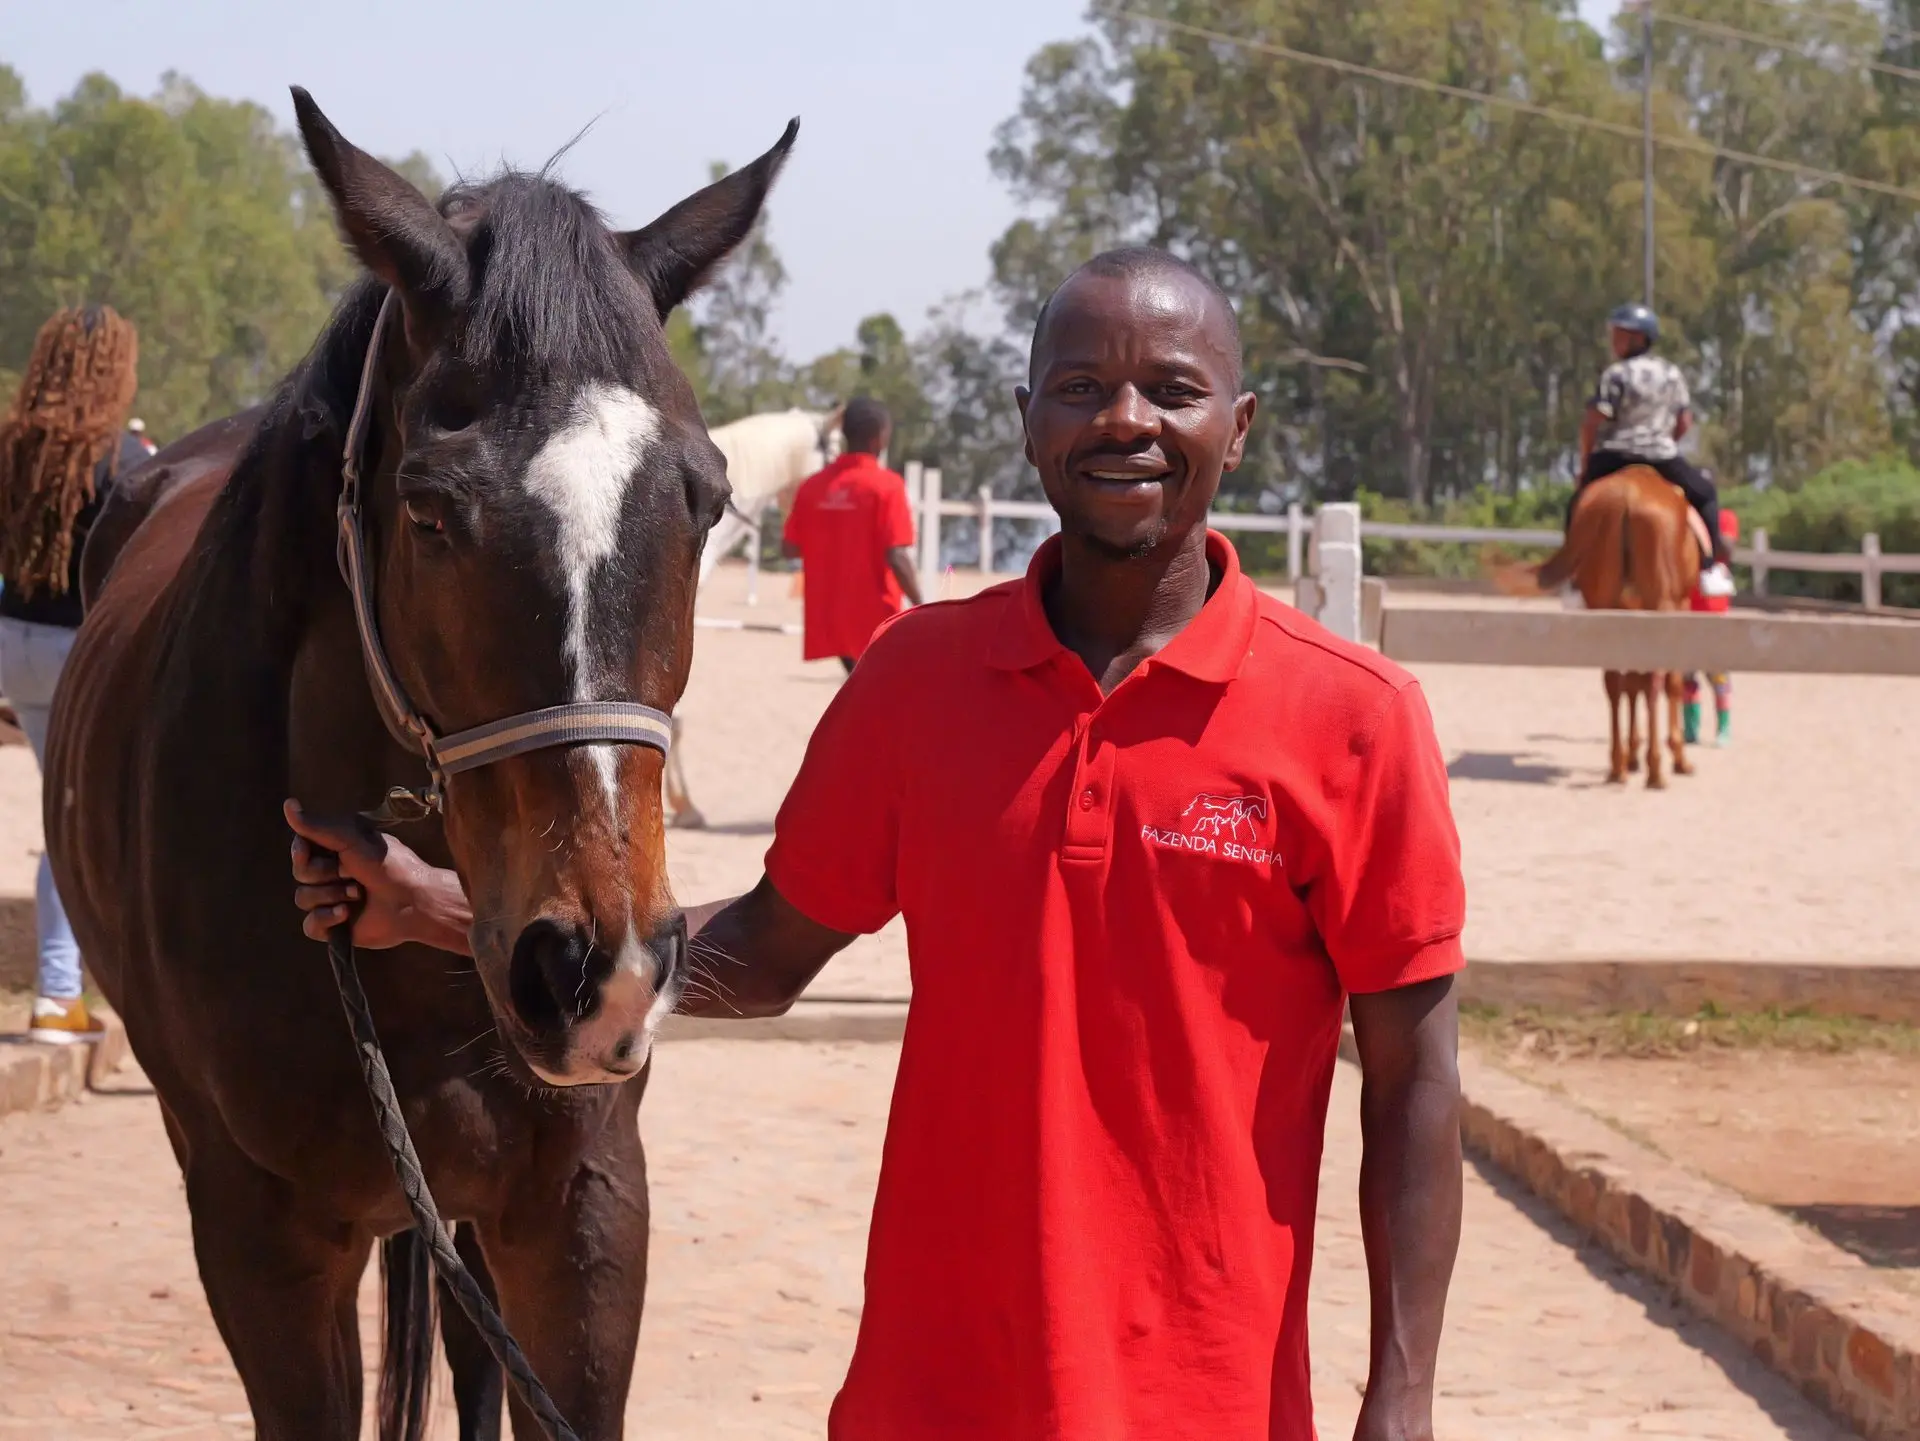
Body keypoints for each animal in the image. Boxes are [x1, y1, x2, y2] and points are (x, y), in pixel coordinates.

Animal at [1500, 466, 1702, 788]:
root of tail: (1626, 496)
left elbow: (1632, 683)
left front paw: (1633, 754)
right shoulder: (1677, 610)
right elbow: (1668, 683)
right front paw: (1677, 757)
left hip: (1607, 607)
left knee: (1614, 682)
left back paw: (1619, 765)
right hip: (1661, 605)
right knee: (1652, 680)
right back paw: (1655, 769)